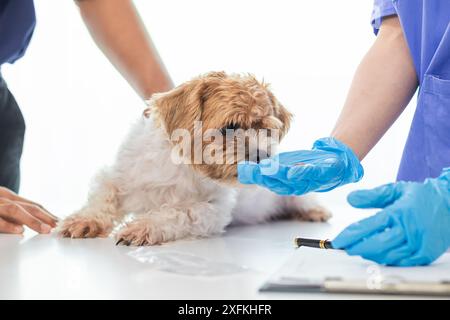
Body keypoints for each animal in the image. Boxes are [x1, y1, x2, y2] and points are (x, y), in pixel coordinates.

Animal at [59, 72, 330, 245]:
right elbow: (103, 197)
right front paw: (85, 220)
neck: (182, 167)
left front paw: (143, 226)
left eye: (267, 130)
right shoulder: (117, 176)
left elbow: (177, 213)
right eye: (230, 126)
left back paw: (314, 211)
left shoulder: (212, 210)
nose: (262, 155)